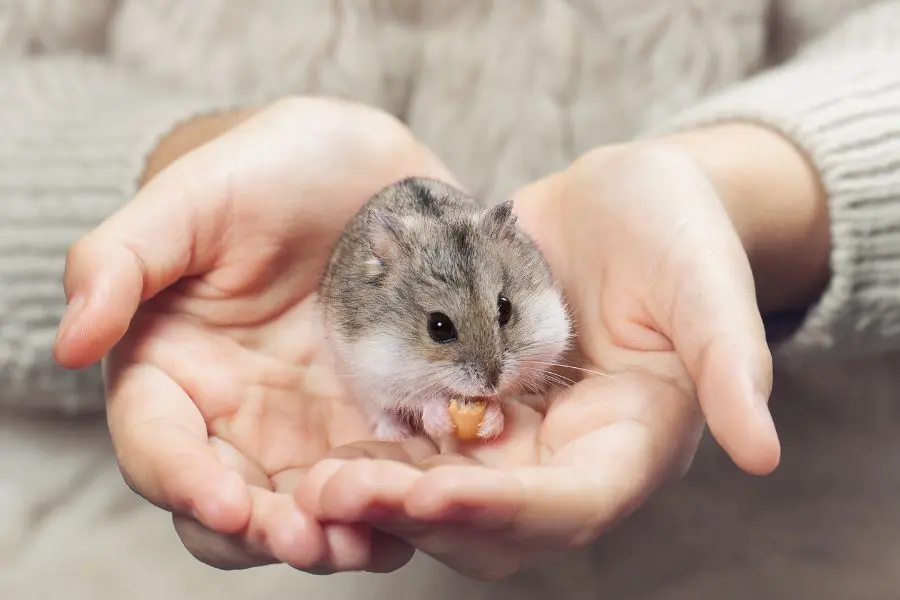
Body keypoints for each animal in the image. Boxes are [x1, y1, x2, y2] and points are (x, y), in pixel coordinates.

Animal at [319, 177, 571, 442]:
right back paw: (397, 435)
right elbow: (420, 399)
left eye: (505, 308)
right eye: (438, 327)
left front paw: (491, 421)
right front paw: (439, 422)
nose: (491, 384)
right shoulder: (376, 372)